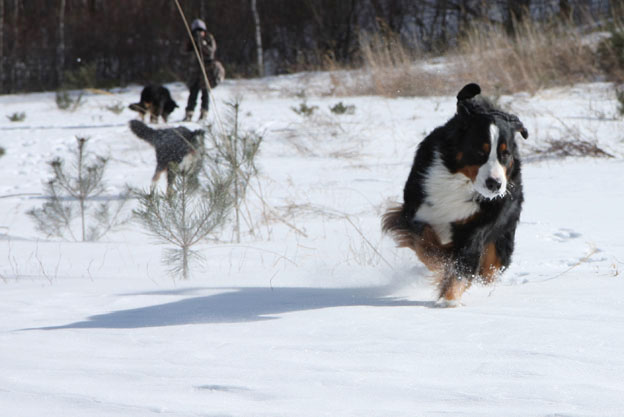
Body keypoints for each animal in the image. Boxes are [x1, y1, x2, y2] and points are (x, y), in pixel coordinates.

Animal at [382, 83, 528, 306]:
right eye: (480, 151)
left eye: (505, 154)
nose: (495, 184)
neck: (459, 181)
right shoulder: (415, 214)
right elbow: (428, 247)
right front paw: (444, 271)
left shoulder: (477, 228)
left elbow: (462, 263)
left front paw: (449, 298)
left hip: (502, 237)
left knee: (490, 270)